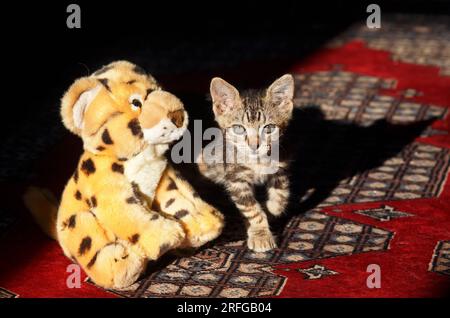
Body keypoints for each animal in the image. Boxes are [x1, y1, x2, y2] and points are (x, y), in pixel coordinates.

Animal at [198, 74, 296, 251]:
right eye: (239, 128)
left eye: (269, 128)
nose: (254, 145)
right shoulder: (235, 178)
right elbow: (251, 209)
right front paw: (260, 234)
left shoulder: (282, 165)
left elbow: (281, 193)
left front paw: (273, 208)